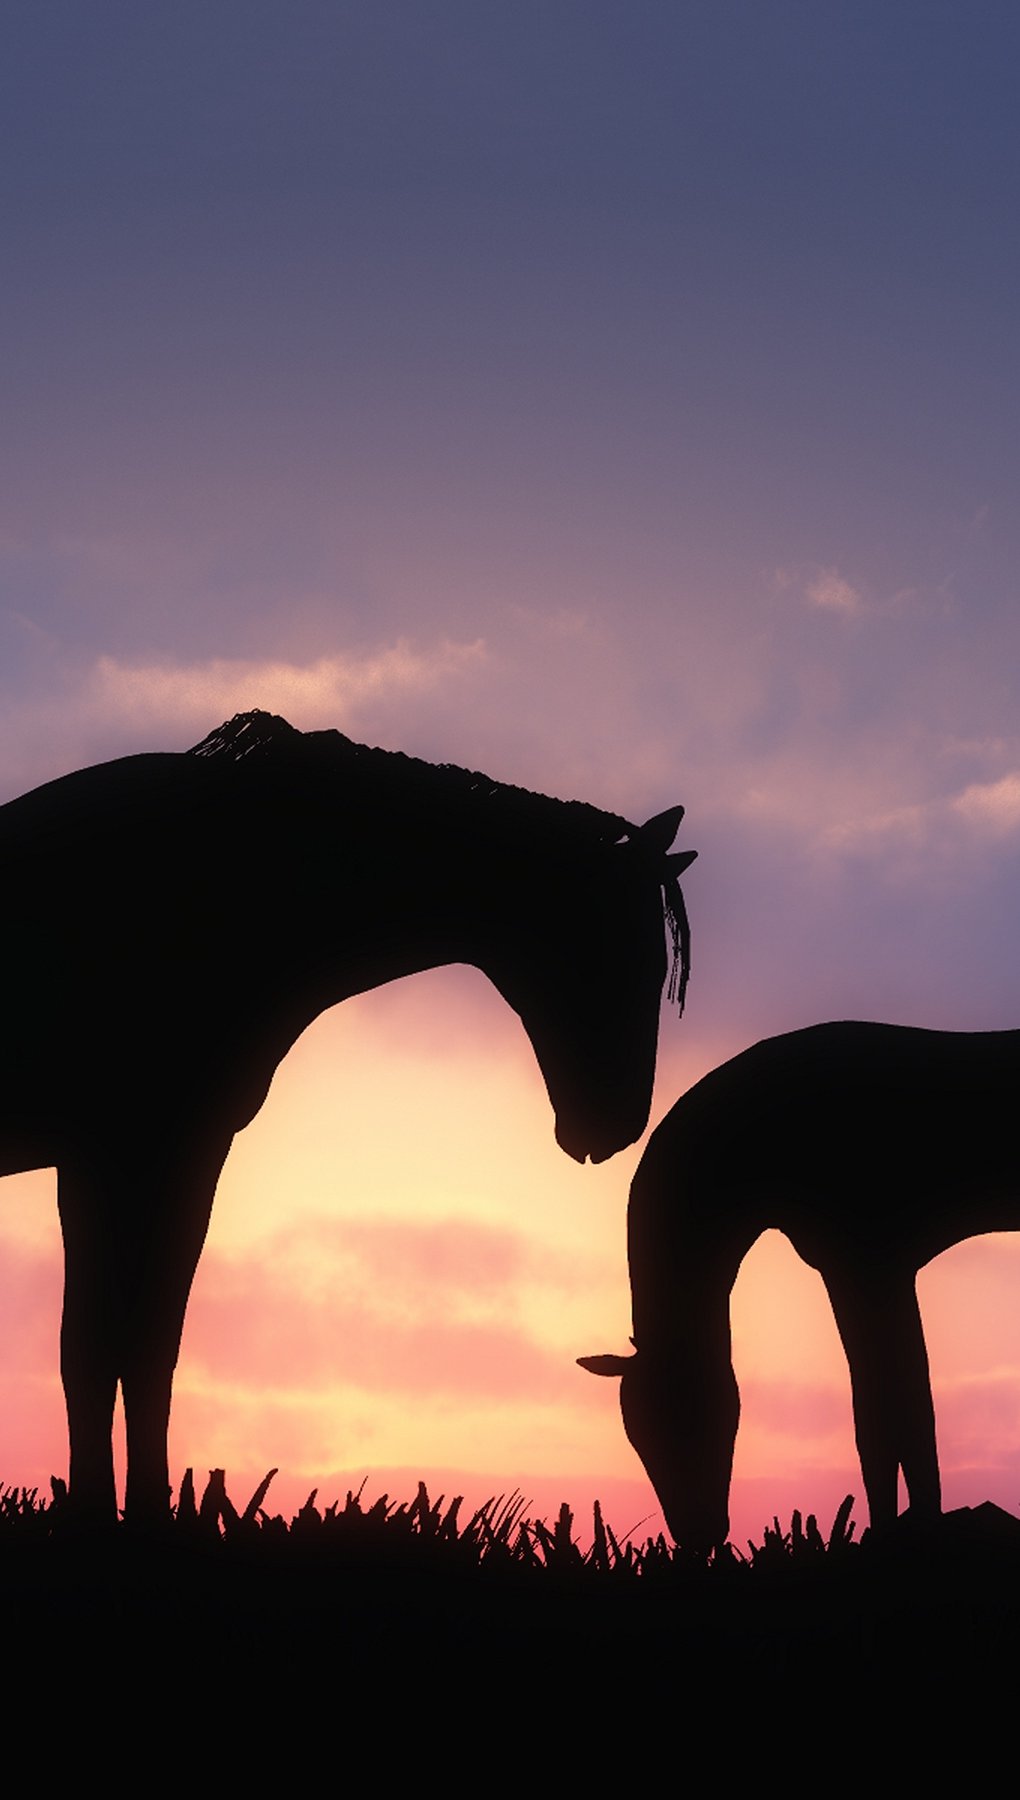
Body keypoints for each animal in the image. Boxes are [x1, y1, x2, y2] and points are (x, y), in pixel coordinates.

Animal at [0, 709, 695, 1523]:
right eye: (618, 954)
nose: (617, 1126)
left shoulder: (167, 1153)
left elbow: (141, 1343)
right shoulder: (114, 1152)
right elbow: (97, 1345)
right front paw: (103, 1516)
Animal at [581, 1019, 1020, 1552]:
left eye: (692, 1417)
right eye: (637, 1435)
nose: (698, 1536)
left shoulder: (873, 1264)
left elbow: (894, 1407)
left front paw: (911, 1528)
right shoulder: (862, 1268)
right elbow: (887, 1405)